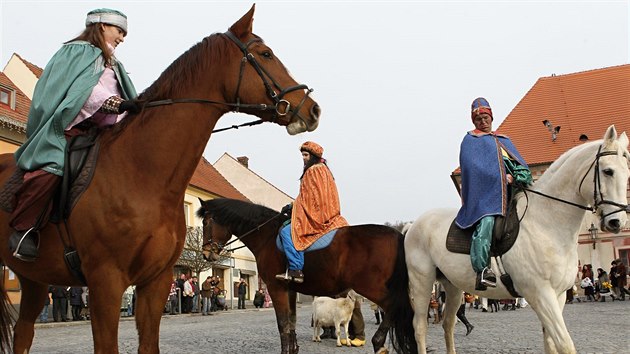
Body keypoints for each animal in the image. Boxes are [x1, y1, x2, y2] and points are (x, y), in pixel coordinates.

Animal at [0, 5, 320, 354]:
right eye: (265, 53)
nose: (312, 109)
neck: (142, 173)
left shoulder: (156, 281)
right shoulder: (105, 282)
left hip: (34, 278)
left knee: (23, 333)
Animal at [195, 198, 418, 352]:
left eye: (206, 223)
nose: (206, 254)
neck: (267, 236)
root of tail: (398, 234)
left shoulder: (276, 288)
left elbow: (283, 324)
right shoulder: (290, 289)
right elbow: (291, 322)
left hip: (372, 287)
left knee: (395, 306)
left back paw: (378, 342)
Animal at [408, 125, 628, 354]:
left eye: (627, 172)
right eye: (608, 171)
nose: (617, 222)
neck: (546, 222)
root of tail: (413, 224)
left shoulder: (558, 295)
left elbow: (550, 343)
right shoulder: (541, 293)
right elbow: (565, 344)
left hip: (452, 286)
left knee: (448, 324)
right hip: (422, 282)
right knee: (420, 327)